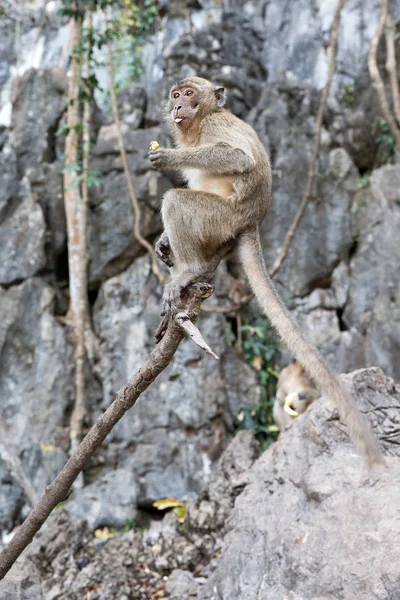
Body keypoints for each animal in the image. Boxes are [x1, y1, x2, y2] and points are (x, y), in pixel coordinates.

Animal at [149, 75, 384, 466]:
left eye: (189, 94)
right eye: (176, 94)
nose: (178, 105)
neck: (201, 123)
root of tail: (252, 219)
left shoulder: (215, 127)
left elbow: (237, 157)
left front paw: (170, 158)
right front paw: (163, 242)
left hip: (220, 218)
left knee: (179, 201)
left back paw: (189, 270)